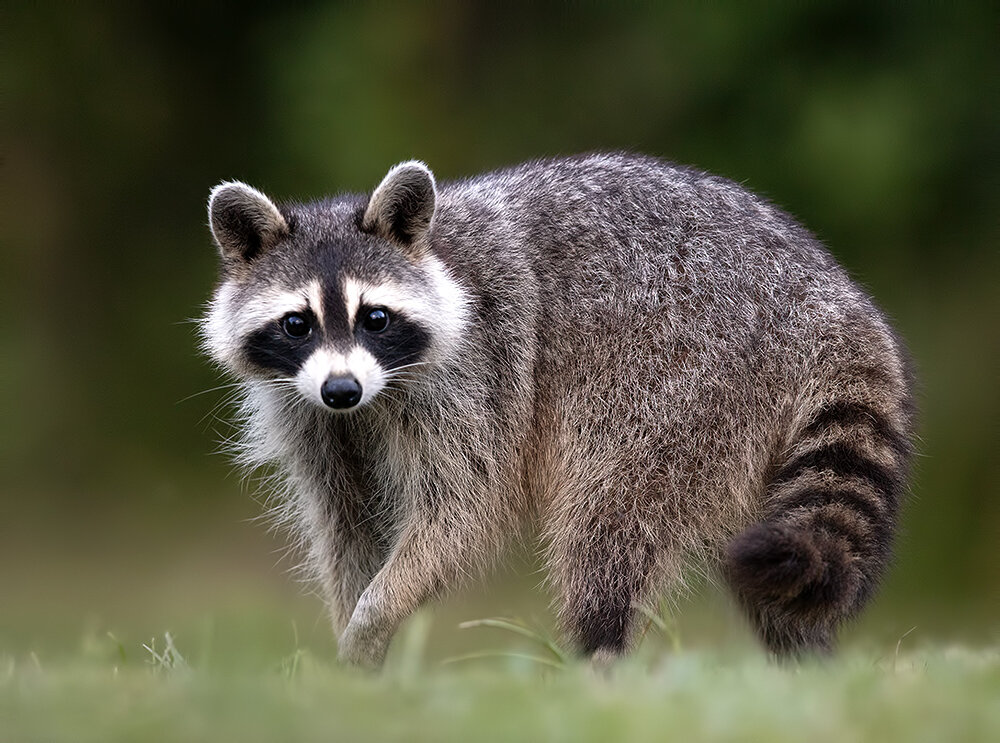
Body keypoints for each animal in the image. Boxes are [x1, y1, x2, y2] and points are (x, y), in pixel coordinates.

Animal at [201, 153, 914, 668]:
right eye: (297, 324)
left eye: (374, 318)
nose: (342, 389)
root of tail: (834, 303)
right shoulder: (309, 414)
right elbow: (348, 525)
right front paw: (358, 651)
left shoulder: (476, 376)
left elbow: (461, 511)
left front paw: (376, 617)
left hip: (678, 382)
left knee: (611, 522)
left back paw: (599, 656)